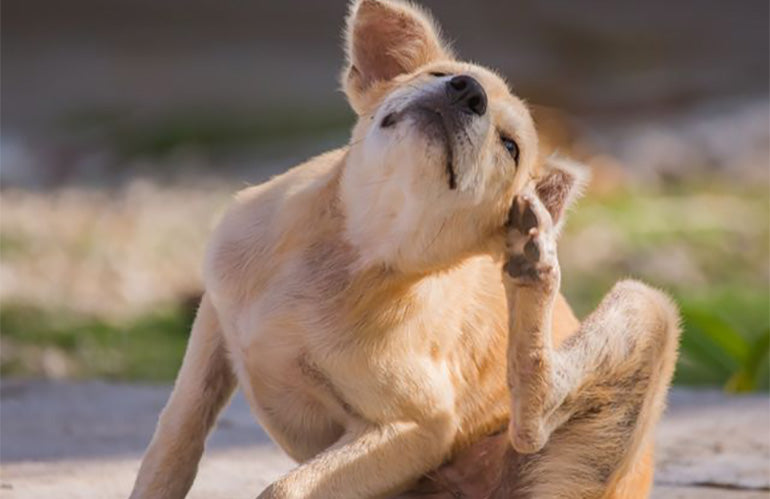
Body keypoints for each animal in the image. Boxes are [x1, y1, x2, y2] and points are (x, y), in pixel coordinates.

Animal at [130, 1, 680, 498]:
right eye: (442, 75)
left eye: (510, 147)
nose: (467, 91)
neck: (354, 248)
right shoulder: (214, 322)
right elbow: (175, 438)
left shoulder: (415, 429)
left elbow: (285, 488)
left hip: (646, 308)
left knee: (534, 422)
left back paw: (533, 264)